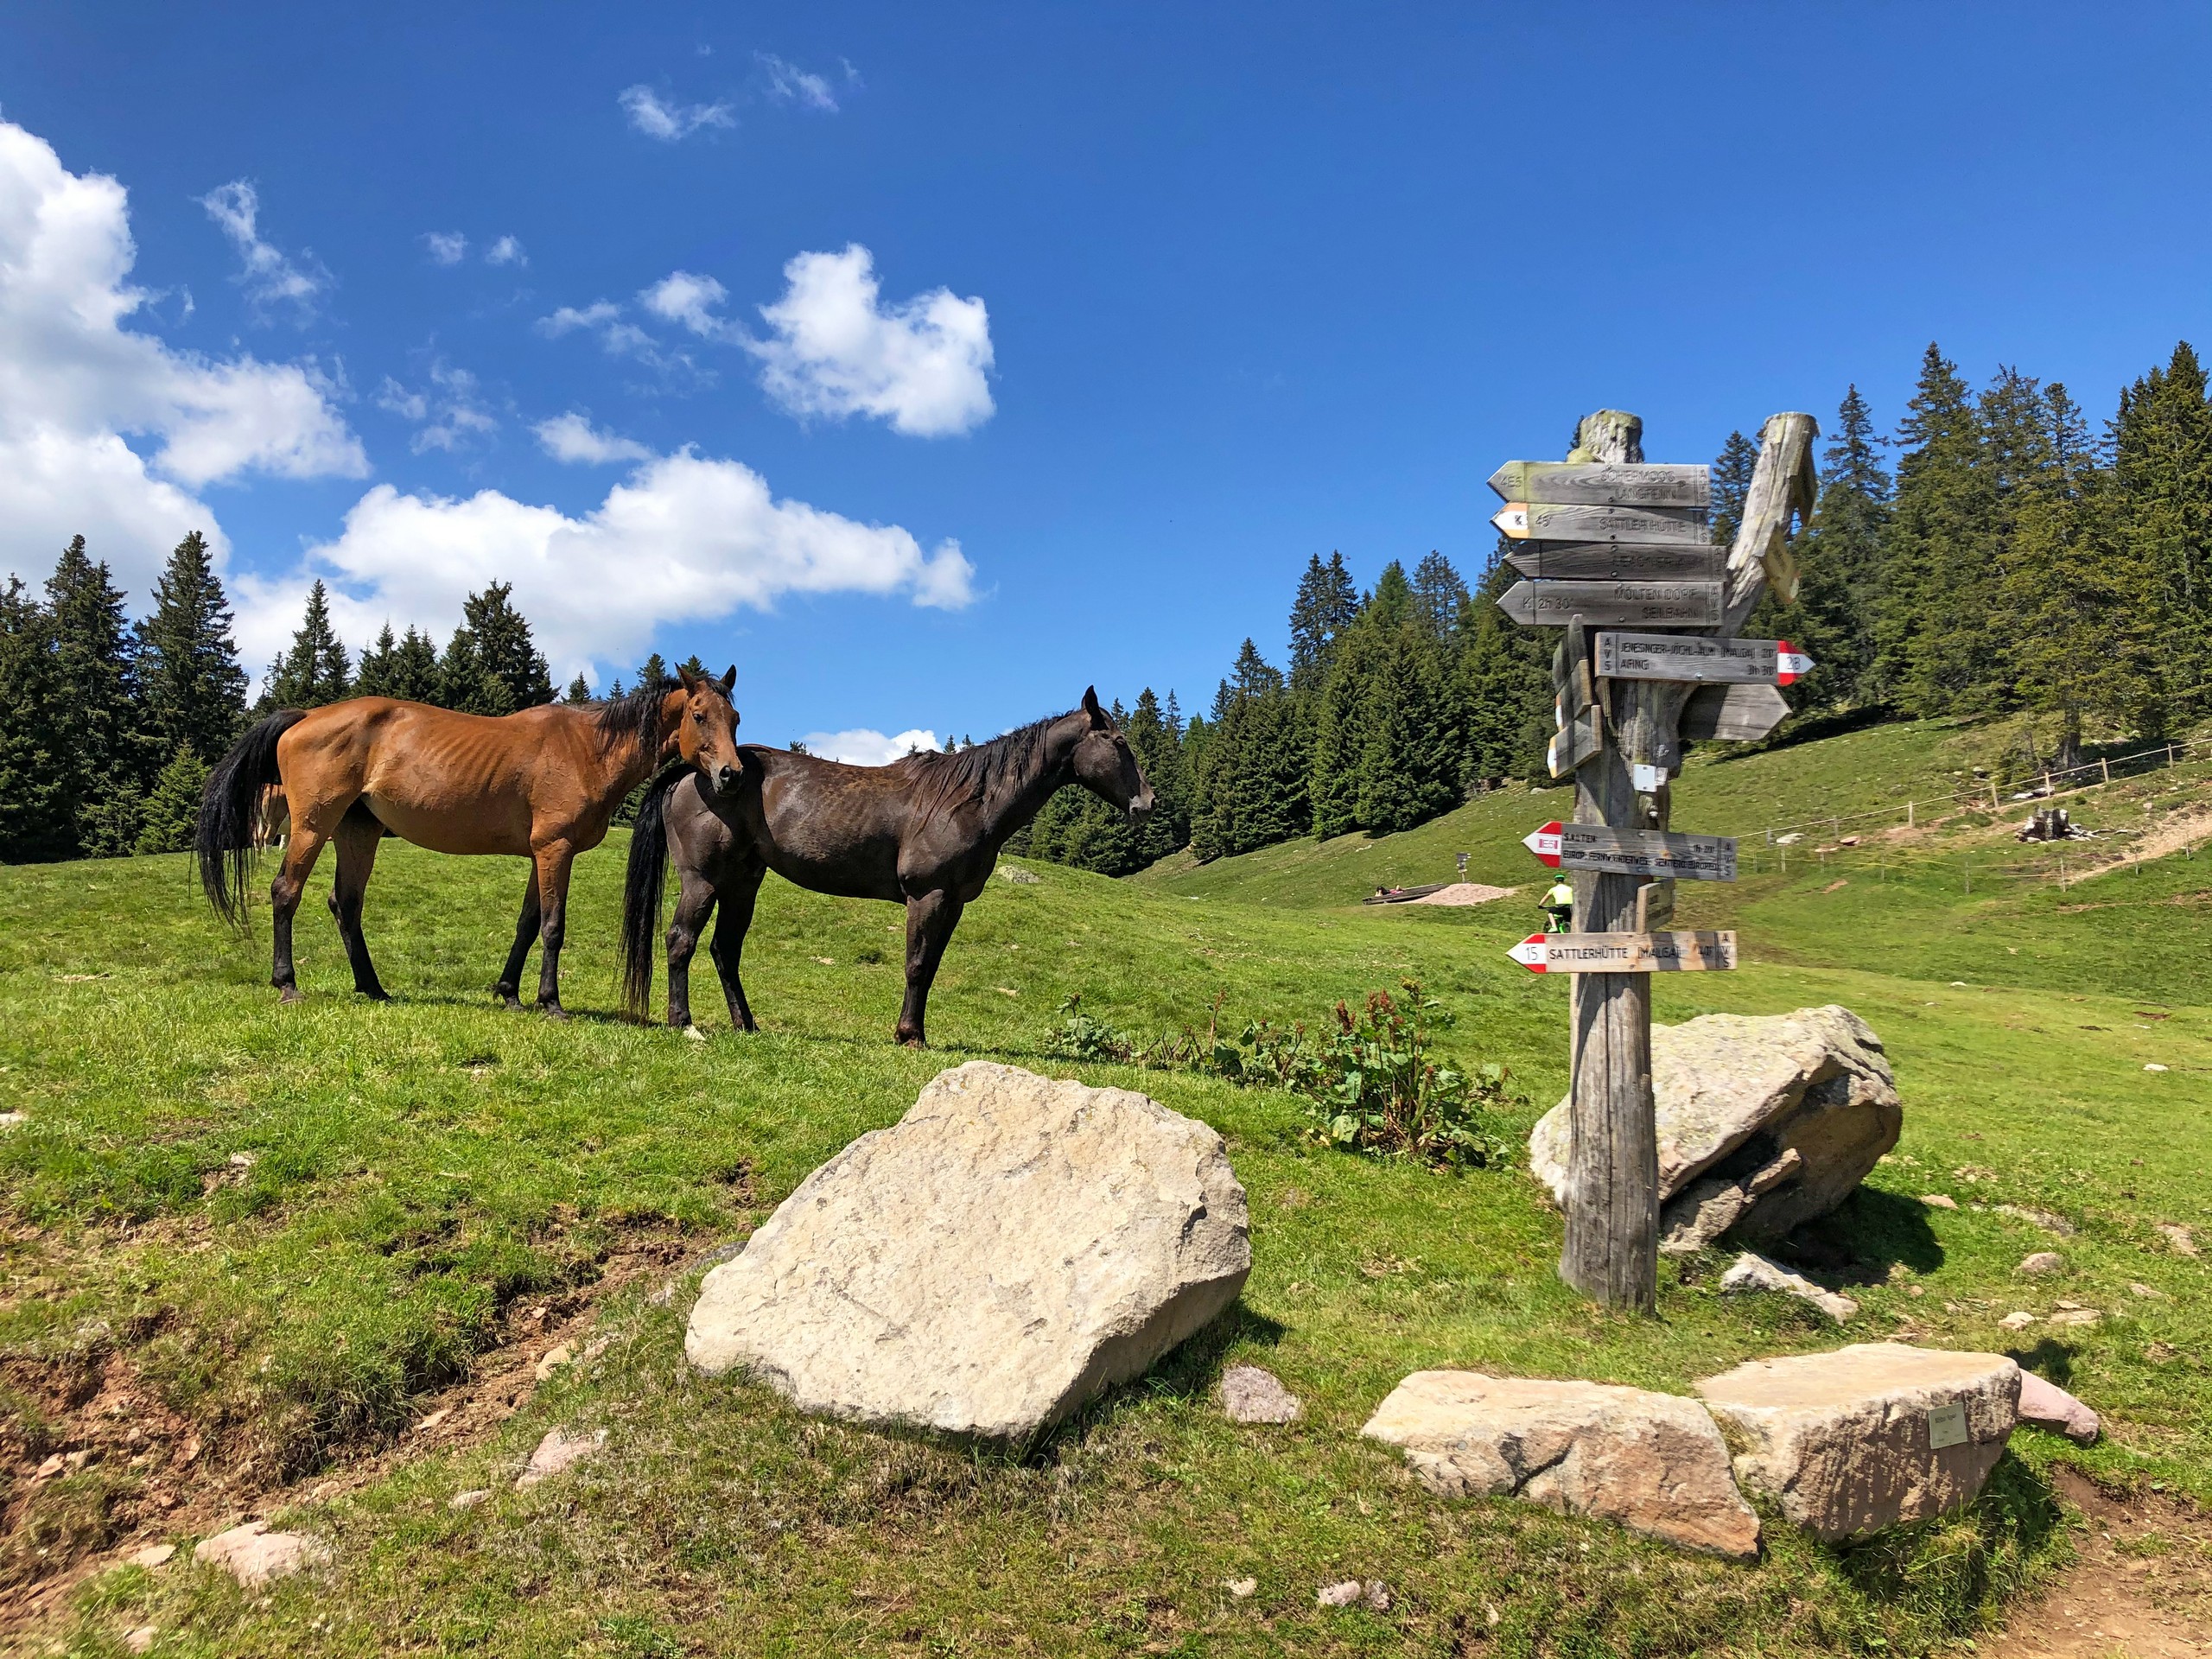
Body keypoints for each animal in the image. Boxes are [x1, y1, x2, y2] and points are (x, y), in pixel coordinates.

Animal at [196, 668, 743, 1021]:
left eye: (734, 718)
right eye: (699, 714)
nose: (731, 774)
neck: (588, 747)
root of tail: (306, 715)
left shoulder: (539, 854)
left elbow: (527, 924)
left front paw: (510, 994)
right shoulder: (555, 849)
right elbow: (552, 927)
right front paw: (550, 1002)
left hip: (358, 832)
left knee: (346, 904)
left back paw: (372, 988)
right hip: (312, 826)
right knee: (285, 892)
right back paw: (287, 983)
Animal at [619, 694, 1150, 1044]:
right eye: (1119, 741)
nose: (1145, 803)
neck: (966, 800)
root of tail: (696, 772)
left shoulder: (952, 902)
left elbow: (930, 968)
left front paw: (916, 1032)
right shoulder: (927, 896)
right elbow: (916, 966)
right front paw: (908, 1035)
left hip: (743, 883)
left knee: (724, 950)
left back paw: (747, 1026)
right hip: (702, 881)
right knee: (680, 941)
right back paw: (684, 1024)